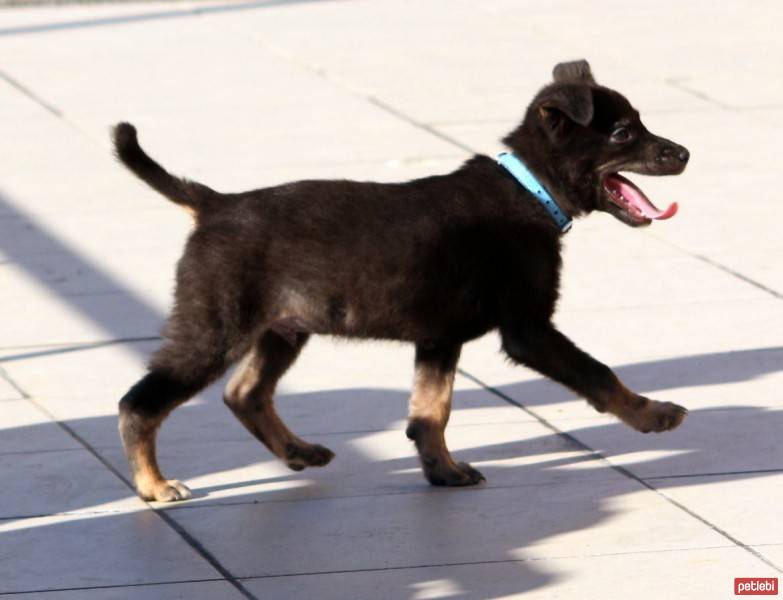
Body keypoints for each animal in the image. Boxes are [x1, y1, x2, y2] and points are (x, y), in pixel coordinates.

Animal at [113, 61, 688, 502]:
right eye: (623, 133)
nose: (684, 153)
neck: (530, 189)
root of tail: (214, 203)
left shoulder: (439, 339)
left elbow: (430, 413)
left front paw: (443, 471)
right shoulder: (529, 329)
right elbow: (598, 374)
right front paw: (653, 414)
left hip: (284, 327)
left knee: (244, 393)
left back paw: (298, 450)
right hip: (215, 329)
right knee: (139, 404)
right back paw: (153, 485)